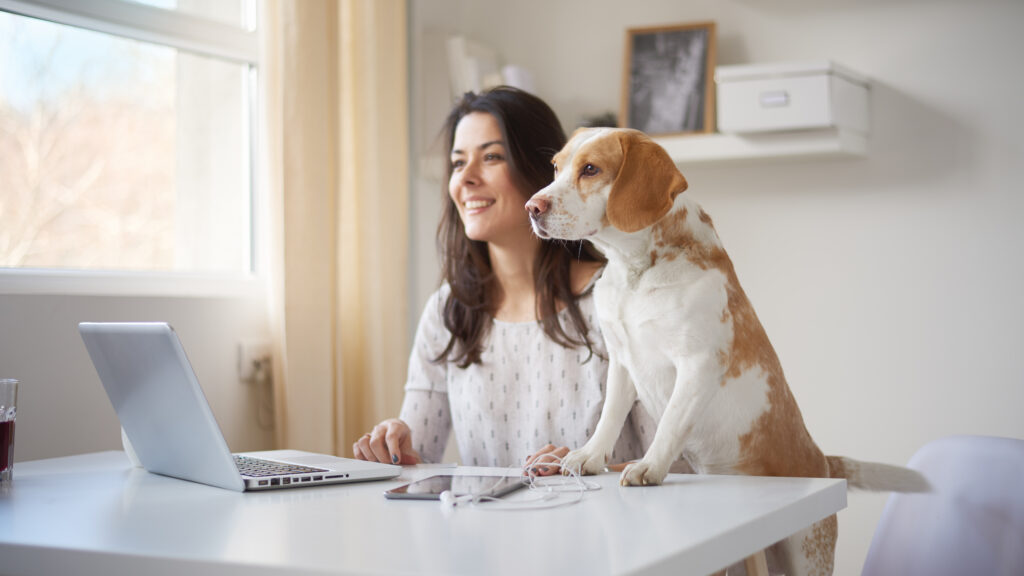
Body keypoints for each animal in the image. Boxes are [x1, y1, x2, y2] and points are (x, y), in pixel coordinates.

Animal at [528, 127, 929, 569]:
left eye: (590, 169)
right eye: (556, 167)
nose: (532, 207)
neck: (637, 273)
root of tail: (823, 462)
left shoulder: (698, 363)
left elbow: (669, 424)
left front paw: (650, 466)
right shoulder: (621, 361)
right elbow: (609, 419)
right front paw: (590, 457)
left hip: (805, 556)